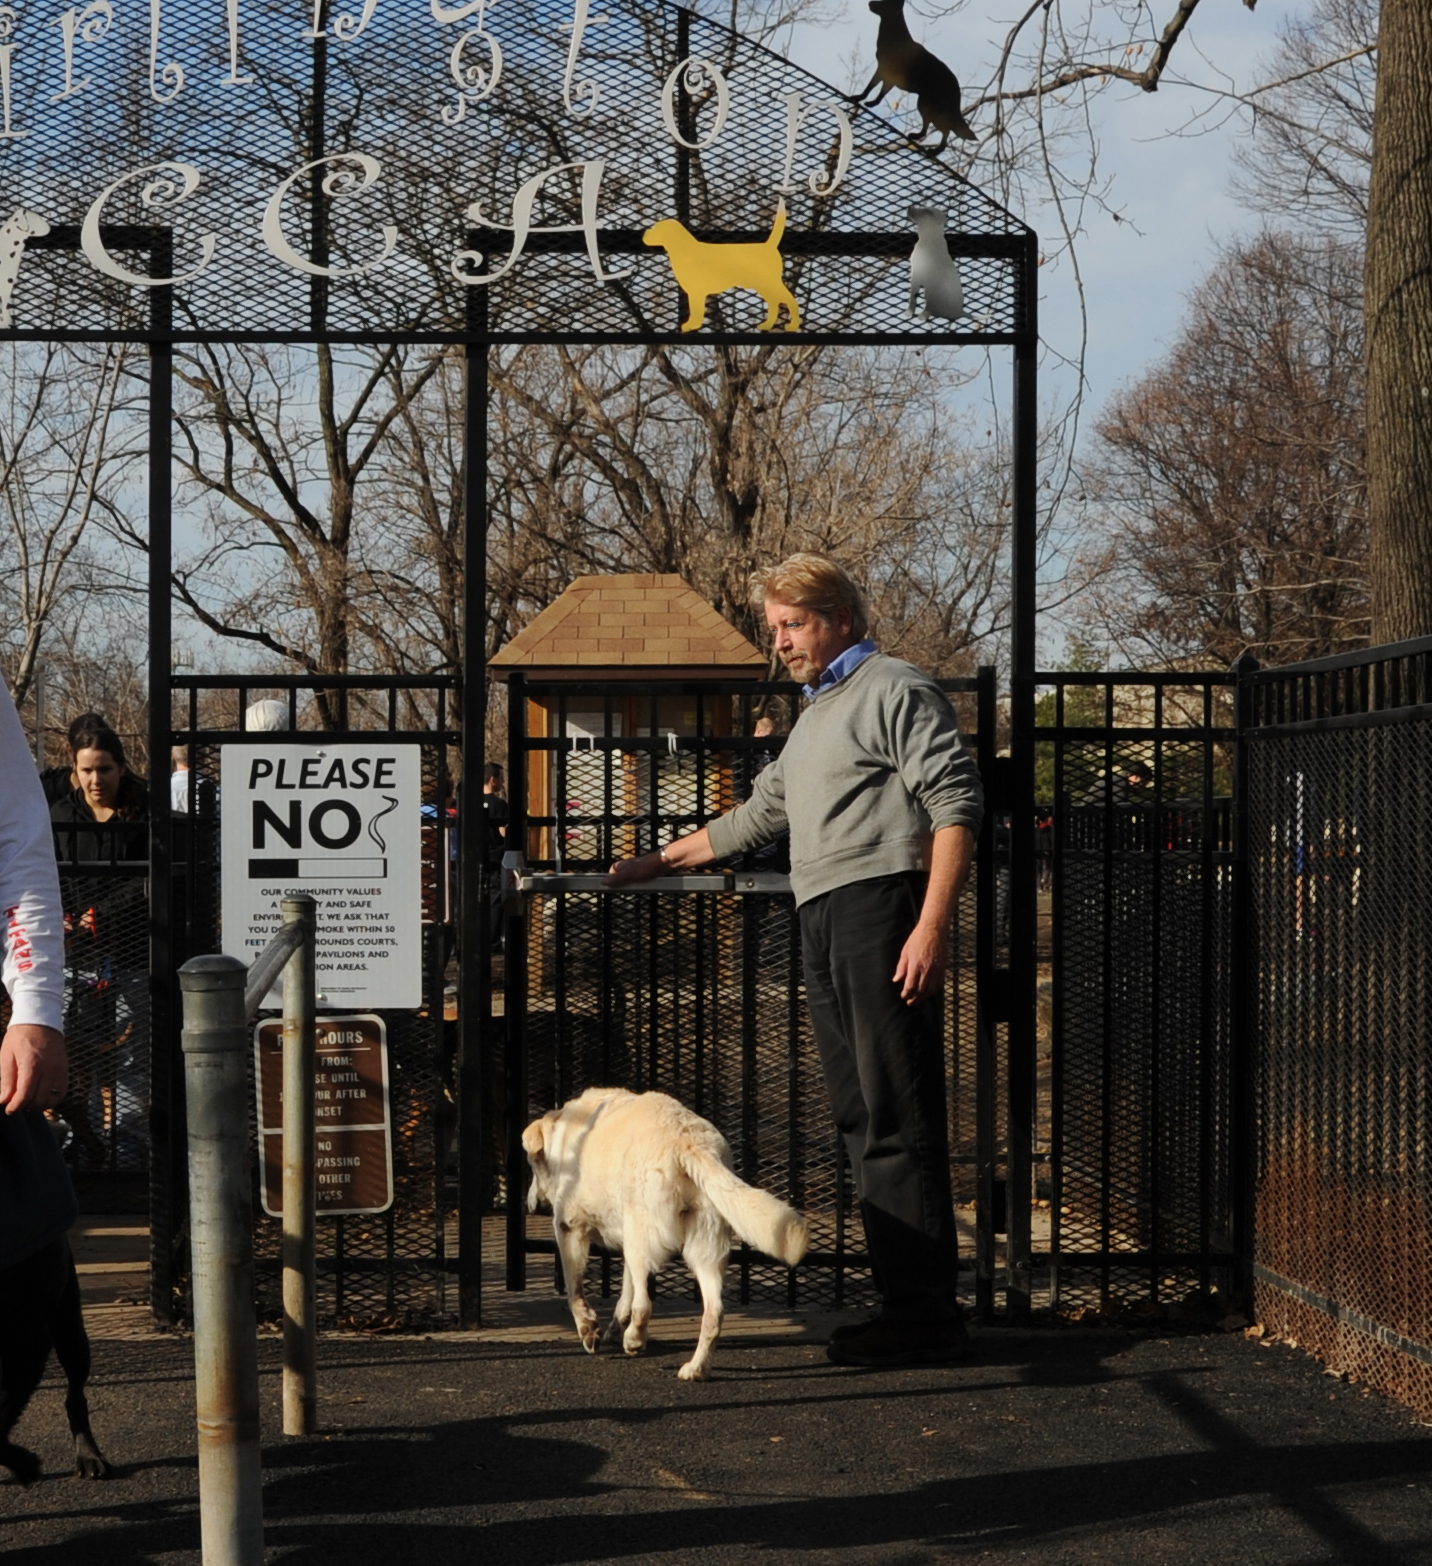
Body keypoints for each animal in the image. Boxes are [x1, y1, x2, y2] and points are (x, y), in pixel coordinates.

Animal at [523, 1089, 802, 1384]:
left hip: (641, 1237)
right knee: (713, 1312)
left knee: (644, 1306)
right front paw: (612, 1328)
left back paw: (635, 1340)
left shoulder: (569, 1227)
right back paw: (696, 1369)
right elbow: (625, 1294)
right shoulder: (626, 1239)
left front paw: (589, 1328)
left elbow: (575, 1290)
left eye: (531, 1166)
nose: (531, 1205)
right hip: (699, 1246)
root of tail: (690, 1142)